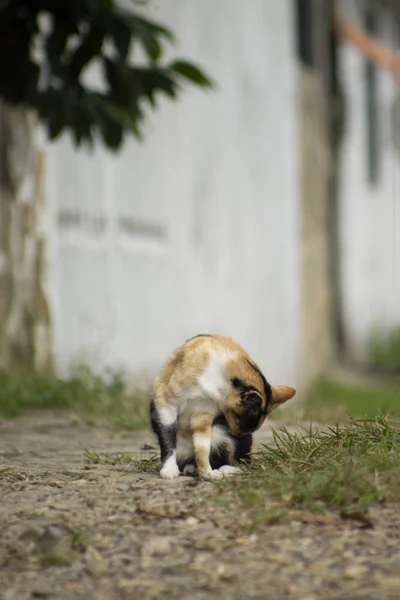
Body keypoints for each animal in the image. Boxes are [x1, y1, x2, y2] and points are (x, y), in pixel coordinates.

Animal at [148, 336, 296, 480]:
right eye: (237, 419)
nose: (238, 436)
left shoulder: (203, 412)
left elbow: (202, 447)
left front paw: (207, 472)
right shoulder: (165, 403)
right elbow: (168, 437)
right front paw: (169, 469)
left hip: (222, 433)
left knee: (244, 465)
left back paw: (226, 469)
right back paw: (191, 468)